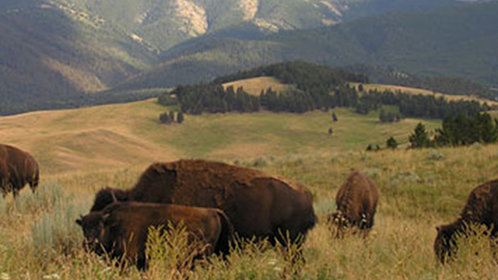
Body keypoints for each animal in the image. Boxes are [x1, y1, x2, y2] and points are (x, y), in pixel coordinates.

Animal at [76, 201, 233, 270]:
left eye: (99, 227)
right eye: (83, 227)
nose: (88, 243)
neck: (114, 225)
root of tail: (213, 211)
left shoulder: (127, 260)